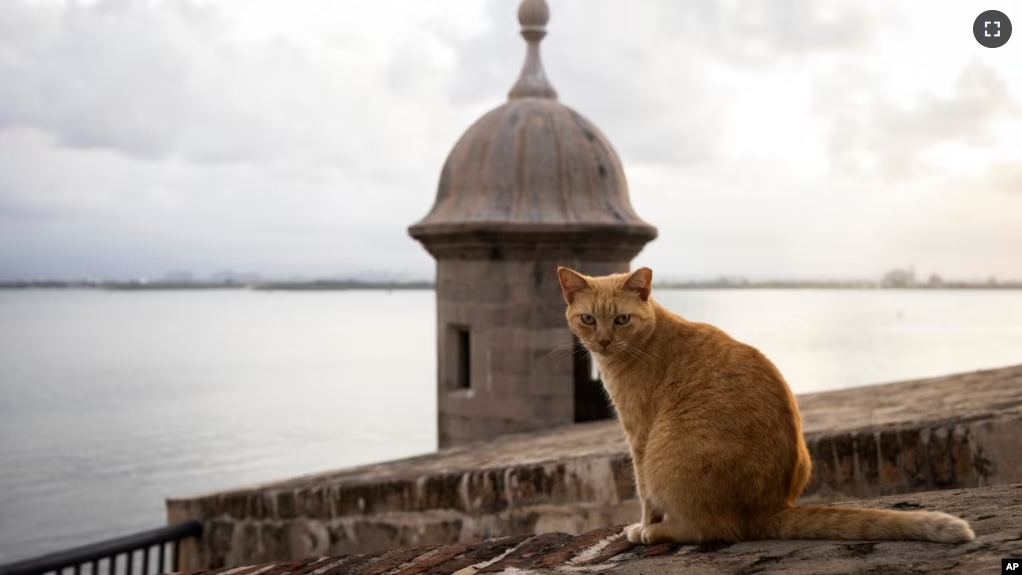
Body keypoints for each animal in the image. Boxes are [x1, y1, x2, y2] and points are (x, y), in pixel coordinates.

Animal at [560, 267, 972, 547]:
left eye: (621, 319)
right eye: (588, 319)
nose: (603, 340)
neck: (646, 340)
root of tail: (769, 509)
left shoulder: (639, 435)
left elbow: (644, 492)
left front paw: (644, 524)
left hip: (665, 454)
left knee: (711, 529)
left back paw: (653, 533)